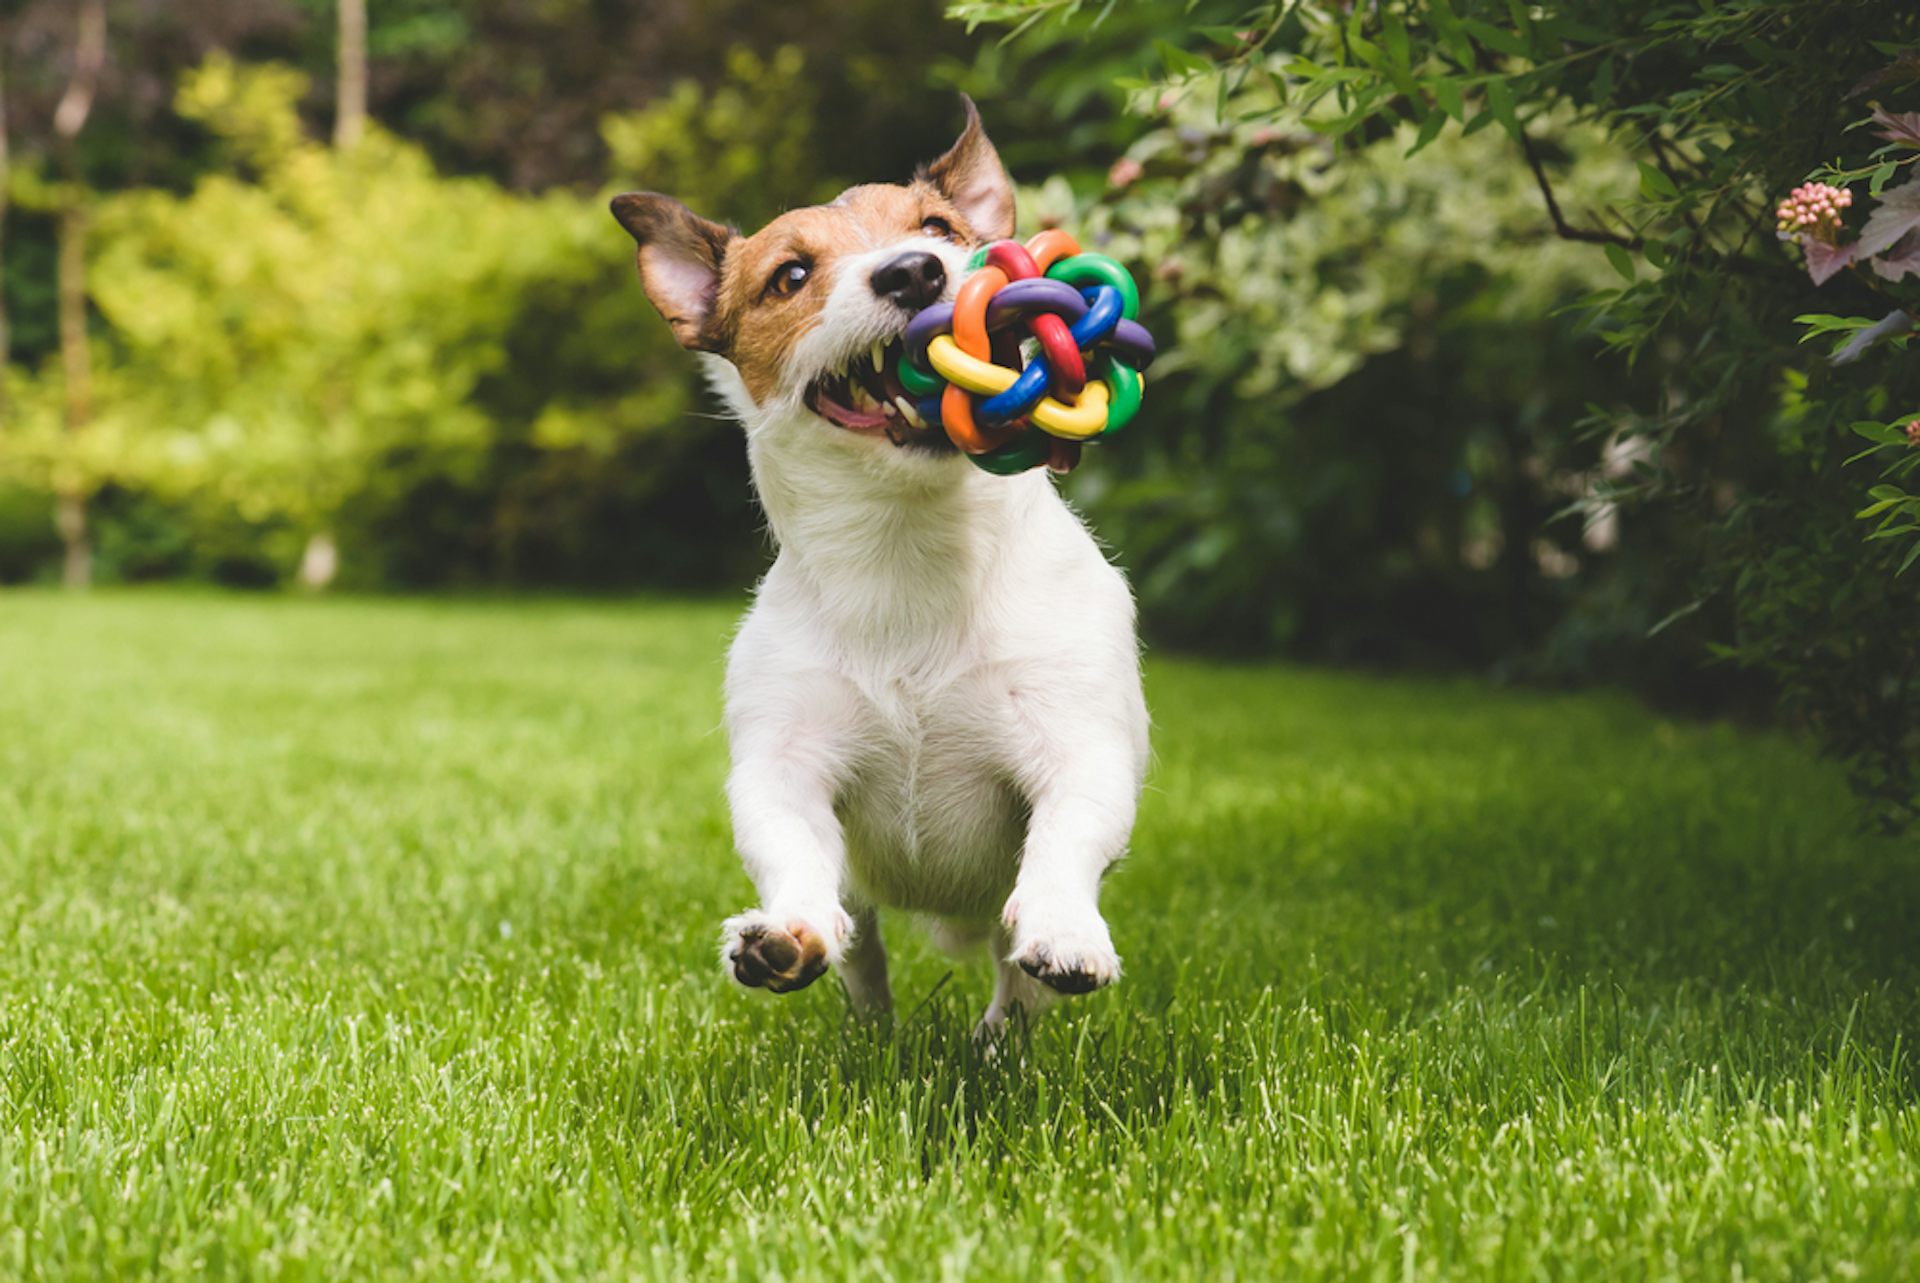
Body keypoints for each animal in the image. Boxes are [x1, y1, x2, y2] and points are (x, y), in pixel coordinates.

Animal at [614, 95, 1144, 1029]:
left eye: (938, 228)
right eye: (789, 276)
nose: (913, 273)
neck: (909, 549)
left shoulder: (1078, 743)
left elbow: (1067, 835)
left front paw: (1065, 928)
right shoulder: (785, 764)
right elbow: (791, 846)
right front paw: (786, 933)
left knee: (1011, 979)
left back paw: (999, 1037)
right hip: (861, 904)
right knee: (861, 943)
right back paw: (866, 1020)